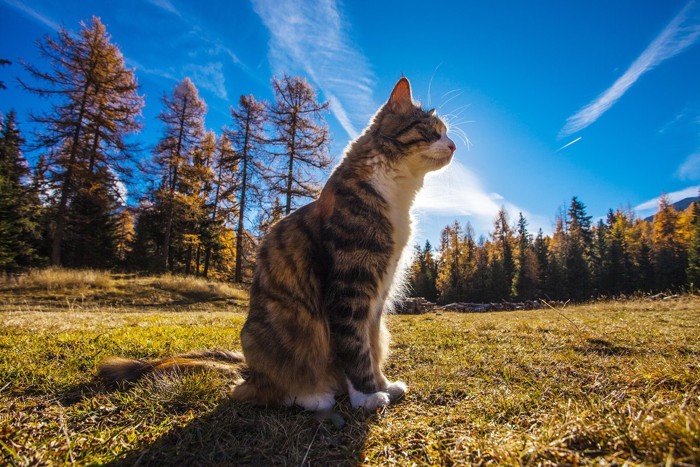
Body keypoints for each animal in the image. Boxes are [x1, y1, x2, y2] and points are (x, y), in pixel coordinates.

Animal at [100, 77, 460, 414]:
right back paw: (315, 397)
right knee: (258, 392)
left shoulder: (377, 296)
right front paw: (367, 397)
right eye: (432, 132)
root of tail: (251, 370)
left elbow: (371, 343)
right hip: (271, 336)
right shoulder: (350, 286)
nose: (454, 145)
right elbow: (355, 347)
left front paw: (382, 385)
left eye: (445, 132)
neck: (398, 194)